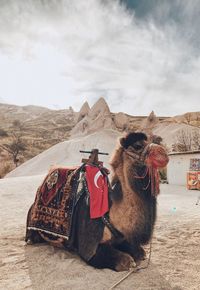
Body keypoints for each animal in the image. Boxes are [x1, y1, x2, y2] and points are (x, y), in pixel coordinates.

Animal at [25, 133, 169, 270]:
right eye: (137, 145)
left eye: (154, 140)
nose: (163, 153)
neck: (111, 214)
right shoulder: (90, 246)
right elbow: (125, 260)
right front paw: (128, 261)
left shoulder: (123, 238)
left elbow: (140, 252)